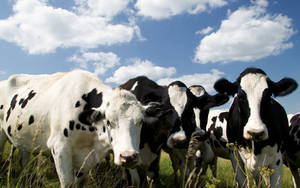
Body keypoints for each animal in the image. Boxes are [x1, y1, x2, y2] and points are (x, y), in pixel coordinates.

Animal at [0, 70, 161, 187]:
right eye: (109, 122)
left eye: (141, 121)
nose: (128, 157)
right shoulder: (59, 148)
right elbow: (68, 183)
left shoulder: (86, 159)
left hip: (23, 140)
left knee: (24, 160)